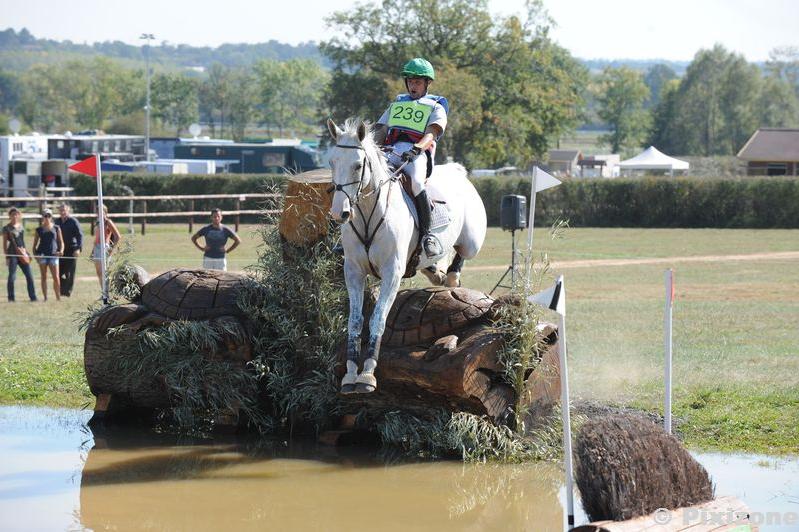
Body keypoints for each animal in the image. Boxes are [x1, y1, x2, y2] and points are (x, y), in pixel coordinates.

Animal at [326, 120, 488, 394]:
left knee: (462, 255)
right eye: (332, 163)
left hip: (472, 241)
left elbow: (378, 319)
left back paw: (451, 277)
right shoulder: (354, 272)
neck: (368, 214)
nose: (340, 213)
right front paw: (350, 375)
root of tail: (458, 173)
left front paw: (367, 375)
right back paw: (436, 272)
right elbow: (355, 322)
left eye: (358, 165)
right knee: (435, 270)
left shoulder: (392, 273)